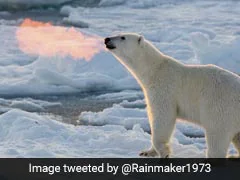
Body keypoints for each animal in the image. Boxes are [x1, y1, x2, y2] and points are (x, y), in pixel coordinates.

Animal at [104, 33, 240, 158]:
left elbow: (162, 116)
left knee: (217, 135)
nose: (107, 39)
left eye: (122, 37)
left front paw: (164, 152)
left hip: (221, 108)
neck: (154, 69)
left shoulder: (164, 88)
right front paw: (146, 152)